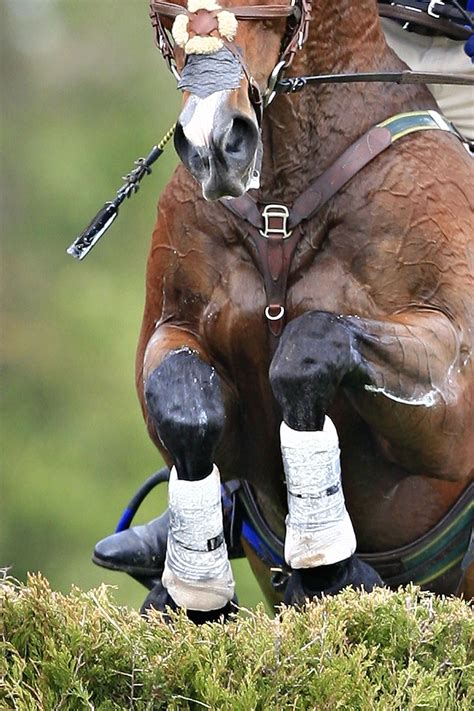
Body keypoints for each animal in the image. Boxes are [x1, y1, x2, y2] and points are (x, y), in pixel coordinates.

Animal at [118, 0, 474, 616]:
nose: (214, 144)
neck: (281, 190)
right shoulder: (172, 327)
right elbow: (181, 404)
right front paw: (197, 587)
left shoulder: (452, 394)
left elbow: (306, 352)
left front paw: (328, 561)